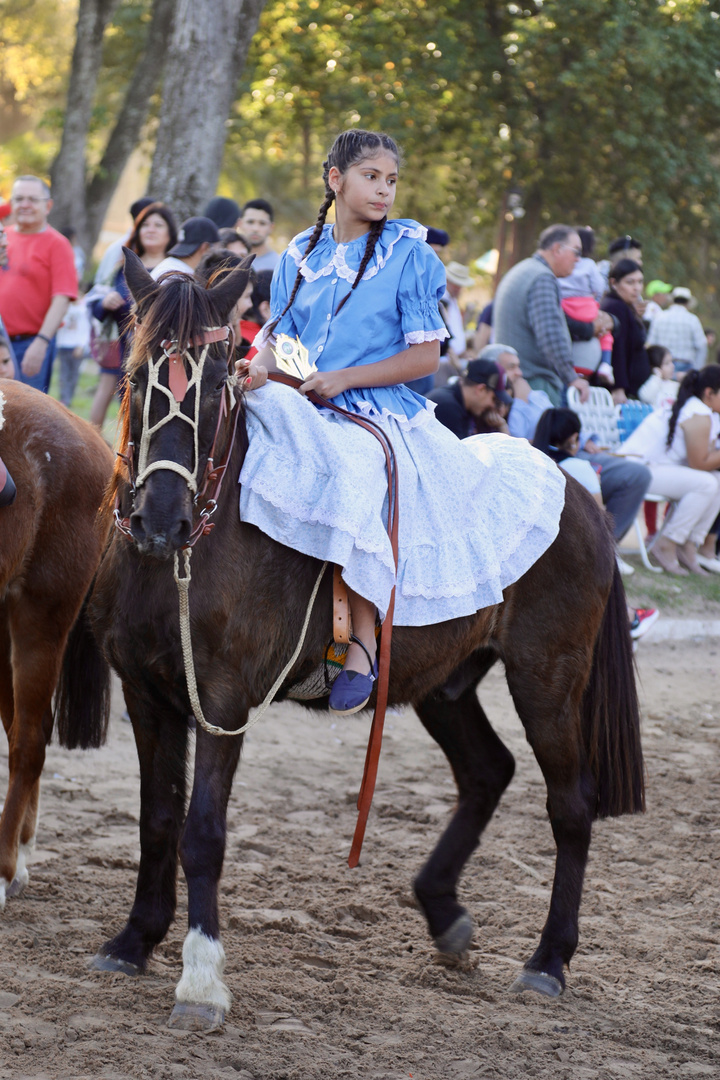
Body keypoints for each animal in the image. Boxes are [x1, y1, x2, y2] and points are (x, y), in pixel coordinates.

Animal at [77, 250, 643, 1028]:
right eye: (136, 378)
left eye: (219, 383)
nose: (162, 518)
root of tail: (576, 487)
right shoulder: (147, 694)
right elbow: (157, 819)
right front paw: (134, 940)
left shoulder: (222, 701)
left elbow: (202, 832)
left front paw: (200, 979)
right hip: (447, 684)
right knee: (487, 772)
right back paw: (444, 914)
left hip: (547, 680)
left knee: (571, 805)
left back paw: (548, 960)